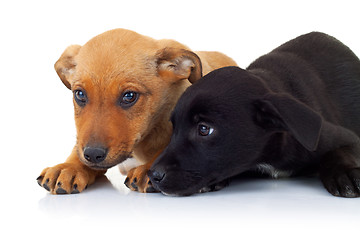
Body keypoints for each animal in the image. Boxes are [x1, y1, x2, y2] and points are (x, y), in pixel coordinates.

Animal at [36, 28, 236, 194]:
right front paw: (68, 167)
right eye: (79, 94)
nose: (93, 154)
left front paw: (149, 169)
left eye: (129, 96)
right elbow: (77, 150)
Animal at [148, 31, 360, 197]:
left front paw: (345, 173)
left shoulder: (343, 137)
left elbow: (339, 152)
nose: (153, 175)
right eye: (174, 127)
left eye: (204, 129)